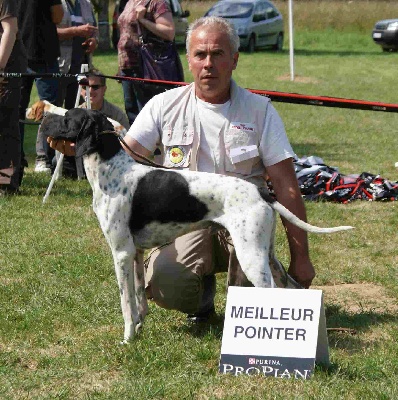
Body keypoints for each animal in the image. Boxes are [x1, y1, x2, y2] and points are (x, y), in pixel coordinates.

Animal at [39, 108, 352, 342]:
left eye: (67, 117)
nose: (43, 117)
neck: (111, 169)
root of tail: (261, 192)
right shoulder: (136, 253)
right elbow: (139, 298)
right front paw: (139, 329)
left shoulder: (121, 253)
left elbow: (126, 303)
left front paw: (128, 338)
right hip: (267, 254)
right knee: (292, 287)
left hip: (251, 257)